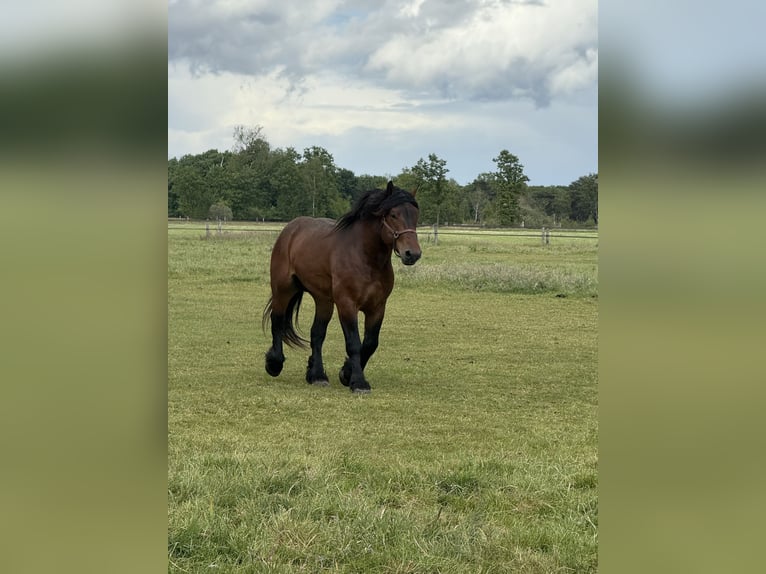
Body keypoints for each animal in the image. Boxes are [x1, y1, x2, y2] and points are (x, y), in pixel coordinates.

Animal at [262, 181, 421, 394]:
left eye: (415, 215)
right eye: (393, 215)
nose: (412, 254)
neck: (366, 258)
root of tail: (291, 228)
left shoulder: (377, 307)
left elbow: (370, 344)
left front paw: (346, 373)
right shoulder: (347, 304)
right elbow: (354, 343)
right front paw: (358, 382)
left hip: (323, 300)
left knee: (317, 334)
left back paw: (317, 375)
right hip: (283, 290)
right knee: (278, 322)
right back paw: (274, 364)